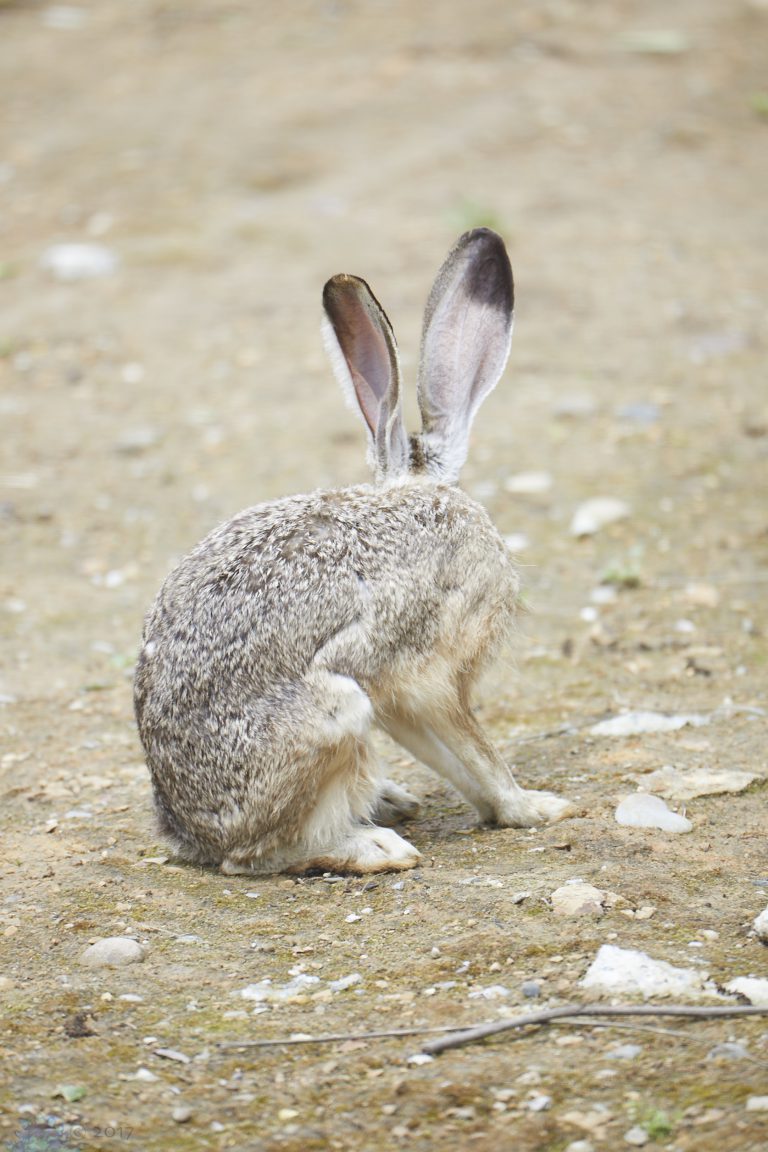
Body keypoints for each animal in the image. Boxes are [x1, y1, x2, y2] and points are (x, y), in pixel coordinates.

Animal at [133, 227, 572, 876]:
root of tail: (193, 836)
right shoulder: (429, 674)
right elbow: (475, 746)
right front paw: (533, 807)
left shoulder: (396, 698)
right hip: (333, 713)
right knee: (260, 856)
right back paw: (375, 845)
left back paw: (391, 801)